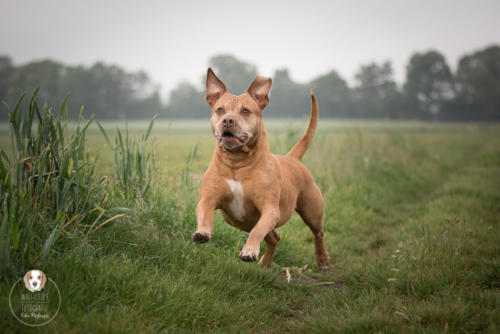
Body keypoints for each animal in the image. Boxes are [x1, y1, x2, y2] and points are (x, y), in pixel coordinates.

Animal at [193, 68, 330, 268]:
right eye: (220, 110)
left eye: (245, 111)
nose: (228, 120)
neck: (237, 162)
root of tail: (292, 158)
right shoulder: (208, 199)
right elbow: (204, 212)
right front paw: (203, 232)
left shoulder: (270, 210)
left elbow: (257, 231)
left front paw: (249, 250)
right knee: (274, 237)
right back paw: (265, 262)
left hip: (312, 211)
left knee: (317, 233)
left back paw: (322, 259)